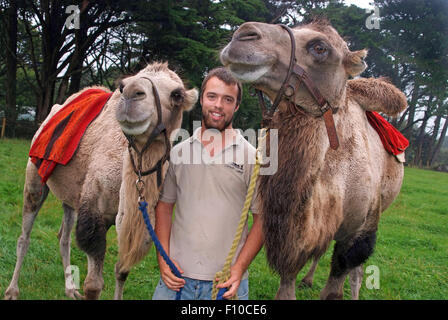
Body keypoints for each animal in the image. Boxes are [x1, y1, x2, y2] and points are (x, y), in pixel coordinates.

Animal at [3, 62, 196, 300]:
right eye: (122, 86)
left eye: (177, 94)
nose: (132, 93)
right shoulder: (94, 210)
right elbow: (93, 284)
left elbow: (122, 270)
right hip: (35, 176)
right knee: (25, 235)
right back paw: (12, 290)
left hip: (71, 196)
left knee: (63, 236)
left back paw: (70, 289)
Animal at [221, 20, 410, 300]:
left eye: (320, 47)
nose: (242, 35)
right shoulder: (293, 240)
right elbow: (288, 281)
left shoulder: (359, 231)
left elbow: (339, 280)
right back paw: (308, 280)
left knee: (356, 271)